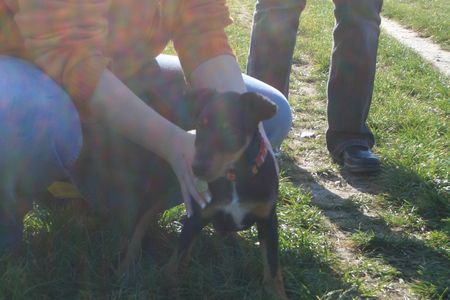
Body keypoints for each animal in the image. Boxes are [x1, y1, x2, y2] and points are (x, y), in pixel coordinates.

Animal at [163, 90, 286, 298]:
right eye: (200, 125)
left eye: (230, 132)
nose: (196, 168)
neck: (234, 175)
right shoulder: (197, 216)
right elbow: (177, 258)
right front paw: (168, 286)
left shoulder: (268, 220)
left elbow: (272, 267)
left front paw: (277, 294)